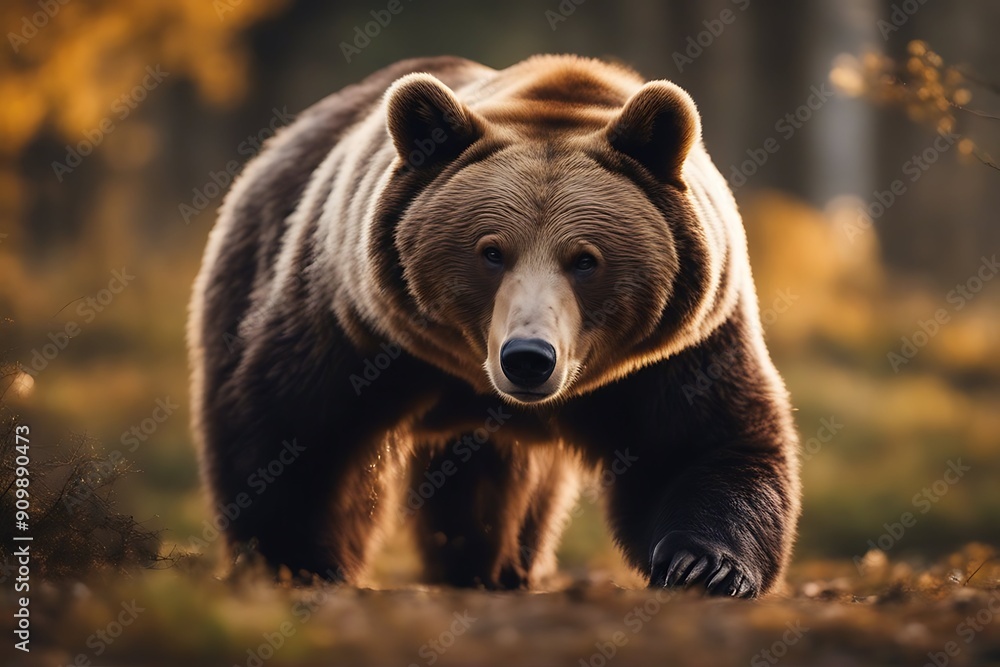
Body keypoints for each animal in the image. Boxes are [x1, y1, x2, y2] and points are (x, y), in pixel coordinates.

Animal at [187, 54, 801, 597]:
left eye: (585, 259)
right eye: (491, 251)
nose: (528, 357)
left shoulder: (679, 349)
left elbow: (701, 441)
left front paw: (705, 567)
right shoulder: (358, 326)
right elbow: (298, 428)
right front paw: (296, 559)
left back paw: (498, 564)